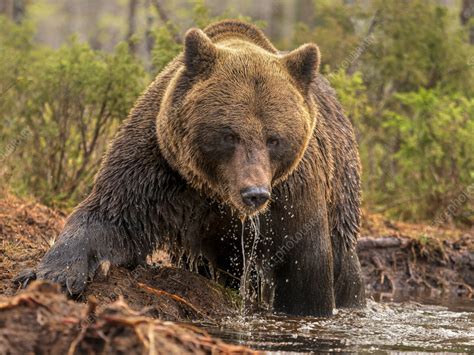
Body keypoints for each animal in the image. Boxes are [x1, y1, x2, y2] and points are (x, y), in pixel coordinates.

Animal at [13, 19, 362, 318]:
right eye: (229, 134)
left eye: (274, 139)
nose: (254, 193)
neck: (217, 193)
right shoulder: (161, 167)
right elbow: (109, 216)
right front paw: (50, 274)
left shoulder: (293, 197)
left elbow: (305, 268)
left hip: (342, 202)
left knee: (347, 271)